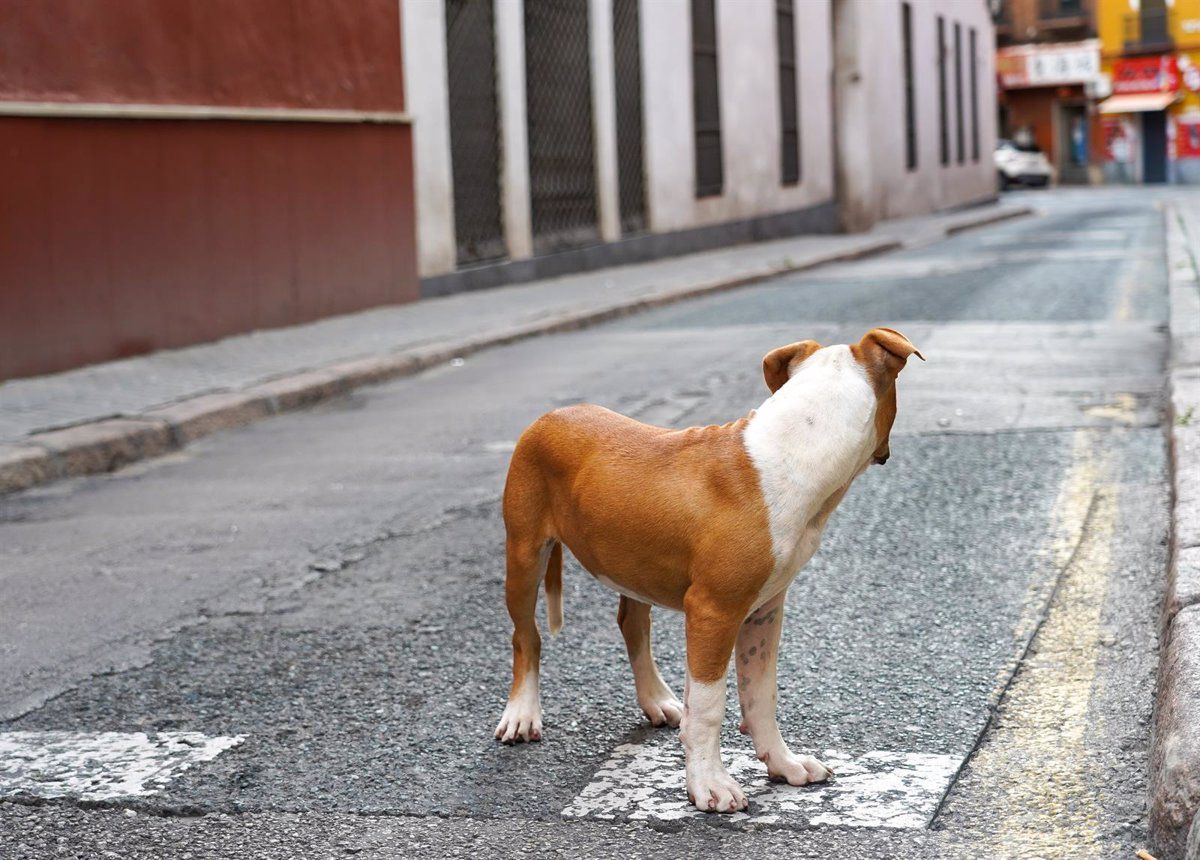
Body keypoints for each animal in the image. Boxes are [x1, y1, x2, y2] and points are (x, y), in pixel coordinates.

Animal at [492, 326, 921, 810]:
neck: (801, 444)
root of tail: (551, 415)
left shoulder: (764, 610)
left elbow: (760, 693)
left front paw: (783, 763)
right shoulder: (714, 613)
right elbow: (710, 707)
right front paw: (710, 785)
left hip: (631, 562)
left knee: (632, 624)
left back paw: (657, 700)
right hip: (525, 552)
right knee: (525, 636)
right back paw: (522, 714)